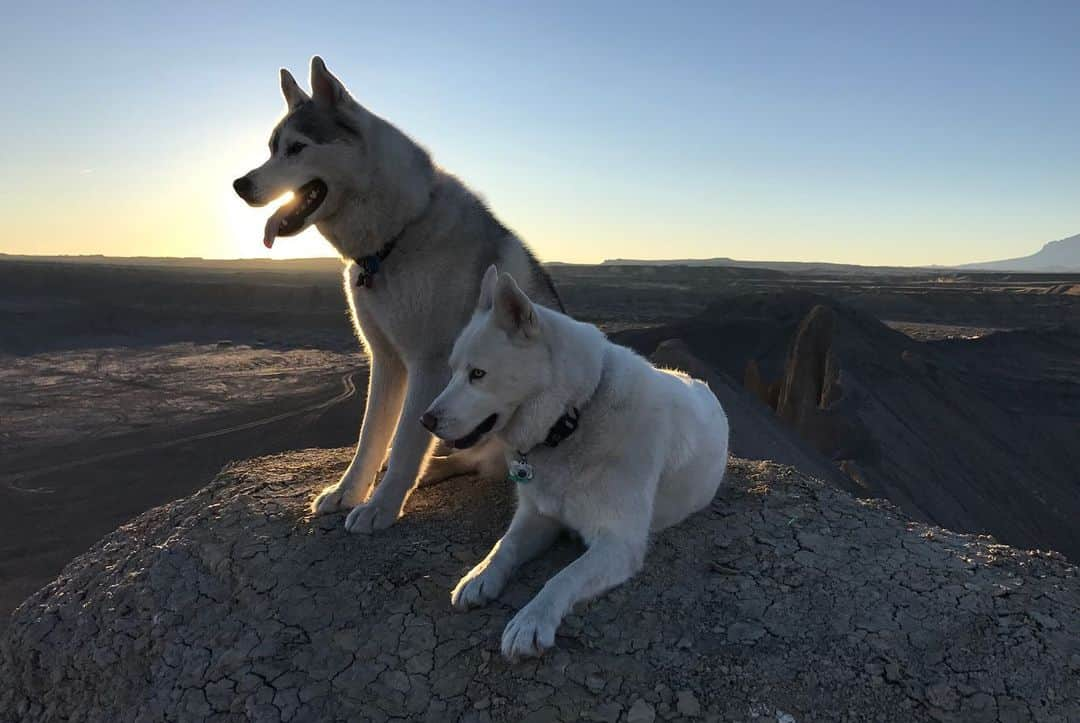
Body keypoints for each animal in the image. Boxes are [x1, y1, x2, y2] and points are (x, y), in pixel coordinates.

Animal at [416, 266, 730, 661]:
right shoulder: (538, 516)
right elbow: (504, 546)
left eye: (478, 374)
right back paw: (431, 469)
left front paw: (531, 620)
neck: (573, 416)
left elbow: (562, 576)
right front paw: (480, 575)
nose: (425, 420)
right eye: (454, 370)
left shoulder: (618, 542)